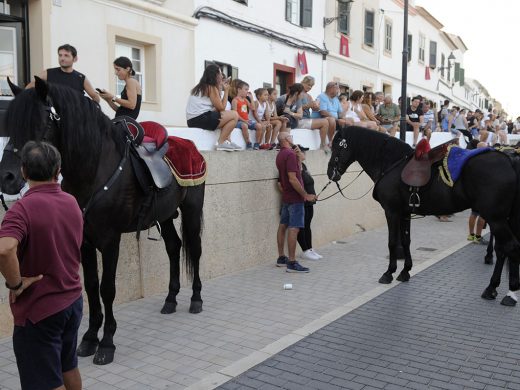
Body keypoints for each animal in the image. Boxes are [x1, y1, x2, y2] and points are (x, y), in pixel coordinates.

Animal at [1, 79, 205, 366]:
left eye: (37, 122)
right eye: (9, 126)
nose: (6, 178)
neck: (95, 168)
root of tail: (191, 145)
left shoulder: (110, 240)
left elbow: (107, 289)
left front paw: (107, 343)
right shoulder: (84, 242)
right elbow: (90, 287)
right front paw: (89, 338)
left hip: (191, 208)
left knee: (194, 249)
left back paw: (196, 299)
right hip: (164, 215)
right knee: (174, 247)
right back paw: (170, 299)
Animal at [328, 126, 520, 304]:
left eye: (337, 146)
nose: (330, 172)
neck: (392, 163)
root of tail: (509, 160)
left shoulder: (392, 211)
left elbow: (392, 242)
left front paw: (389, 272)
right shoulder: (405, 213)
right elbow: (406, 241)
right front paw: (405, 271)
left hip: (496, 219)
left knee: (510, 247)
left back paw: (504, 291)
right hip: (502, 219)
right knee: (502, 249)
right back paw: (498, 288)